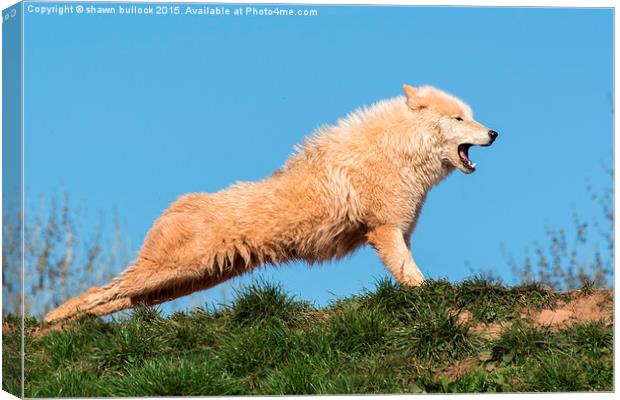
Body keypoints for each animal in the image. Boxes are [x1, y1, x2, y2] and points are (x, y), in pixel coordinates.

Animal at [43, 84, 498, 322]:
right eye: (459, 119)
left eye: (470, 116)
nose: (495, 132)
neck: (395, 152)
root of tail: (177, 204)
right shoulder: (385, 232)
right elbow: (414, 279)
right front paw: (433, 299)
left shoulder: (401, 233)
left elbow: (412, 275)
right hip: (168, 275)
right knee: (99, 293)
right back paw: (49, 325)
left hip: (177, 285)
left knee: (111, 300)